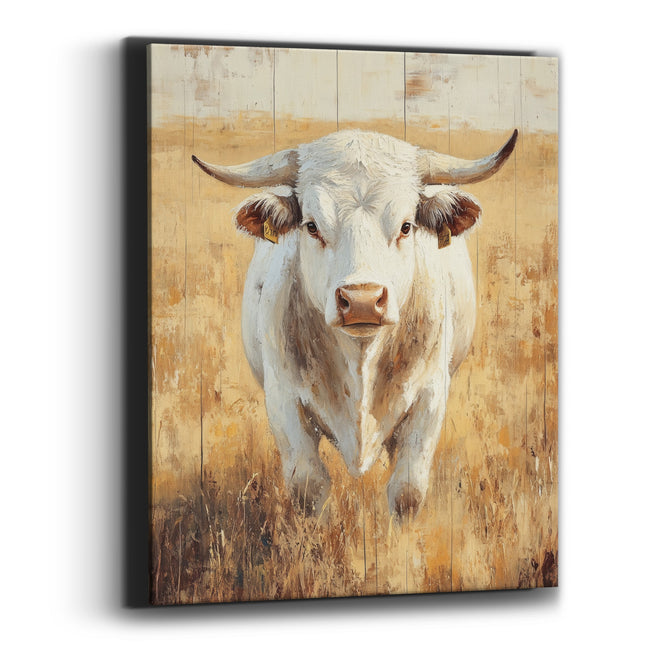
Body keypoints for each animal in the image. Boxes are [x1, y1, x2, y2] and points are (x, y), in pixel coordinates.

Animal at [192, 129, 517, 517]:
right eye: (312, 226)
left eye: (406, 226)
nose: (362, 300)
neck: (360, 359)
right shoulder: (282, 399)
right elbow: (308, 486)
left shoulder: (430, 395)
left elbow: (407, 491)